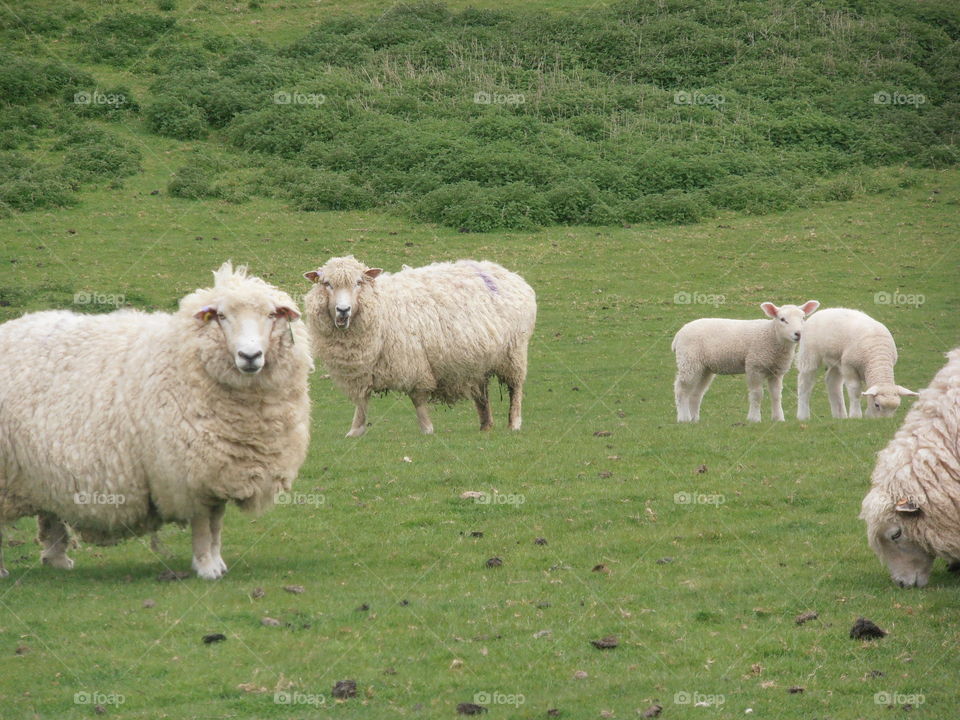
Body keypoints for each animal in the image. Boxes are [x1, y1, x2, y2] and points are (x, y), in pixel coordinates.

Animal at [0, 262, 314, 580]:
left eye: (271, 315)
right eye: (222, 316)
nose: (250, 356)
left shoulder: (219, 470)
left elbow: (216, 523)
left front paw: (217, 562)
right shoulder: (186, 471)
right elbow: (204, 524)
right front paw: (206, 567)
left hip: (42, 470)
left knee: (50, 515)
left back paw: (58, 561)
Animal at [304, 256, 536, 436]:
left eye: (358, 282)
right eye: (327, 283)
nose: (343, 310)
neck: (380, 306)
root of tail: (510, 274)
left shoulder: (414, 361)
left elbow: (417, 398)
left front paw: (427, 428)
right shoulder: (362, 368)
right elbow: (362, 400)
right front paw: (355, 430)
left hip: (514, 352)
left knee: (516, 388)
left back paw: (514, 423)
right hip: (479, 359)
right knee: (482, 393)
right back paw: (486, 425)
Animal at [672, 300, 820, 422]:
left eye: (803, 318)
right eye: (782, 319)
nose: (798, 334)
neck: (772, 336)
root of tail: (680, 333)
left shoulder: (776, 371)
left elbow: (776, 395)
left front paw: (778, 418)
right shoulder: (754, 366)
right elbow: (757, 394)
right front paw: (754, 419)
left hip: (704, 368)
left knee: (696, 393)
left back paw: (694, 419)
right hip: (689, 361)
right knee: (681, 390)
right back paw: (683, 418)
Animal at [792, 306, 920, 420]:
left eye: (896, 407)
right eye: (877, 405)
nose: (883, 421)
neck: (878, 358)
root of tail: (824, 310)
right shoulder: (849, 366)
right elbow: (855, 390)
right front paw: (855, 415)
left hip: (837, 360)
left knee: (832, 382)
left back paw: (840, 416)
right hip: (809, 354)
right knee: (805, 383)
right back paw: (803, 416)